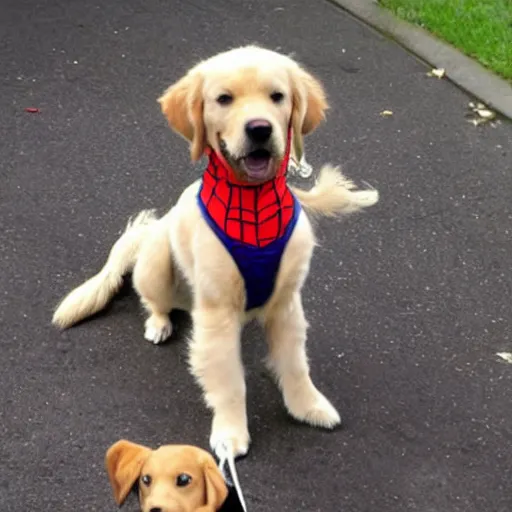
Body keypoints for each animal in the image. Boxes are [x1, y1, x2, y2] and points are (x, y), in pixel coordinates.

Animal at [54, 46, 378, 458]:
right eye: (224, 99)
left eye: (277, 96)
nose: (260, 129)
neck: (253, 198)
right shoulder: (217, 311)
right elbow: (228, 380)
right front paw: (230, 434)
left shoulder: (287, 303)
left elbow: (295, 364)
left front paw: (308, 406)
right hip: (157, 259)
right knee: (153, 300)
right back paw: (159, 323)